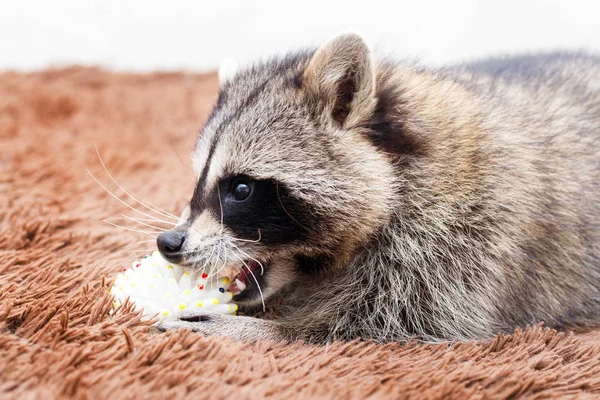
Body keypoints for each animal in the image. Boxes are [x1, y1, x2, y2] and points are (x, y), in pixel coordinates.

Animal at [156, 33, 600, 344]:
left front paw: (269, 330)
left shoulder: (467, 227)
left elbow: (396, 322)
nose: (169, 242)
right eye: (199, 180)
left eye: (242, 189)